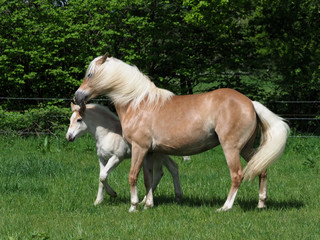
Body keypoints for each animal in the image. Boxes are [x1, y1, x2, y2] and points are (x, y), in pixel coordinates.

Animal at [75, 54, 290, 212]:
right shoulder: (149, 152)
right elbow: (147, 178)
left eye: (91, 75)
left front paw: (134, 206)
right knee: (261, 168)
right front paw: (148, 204)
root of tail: (250, 103)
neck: (138, 103)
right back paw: (261, 203)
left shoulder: (139, 148)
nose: (77, 97)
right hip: (246, 148)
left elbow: (132, 176)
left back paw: (225, 207)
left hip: (231, 148)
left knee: (237, 175)